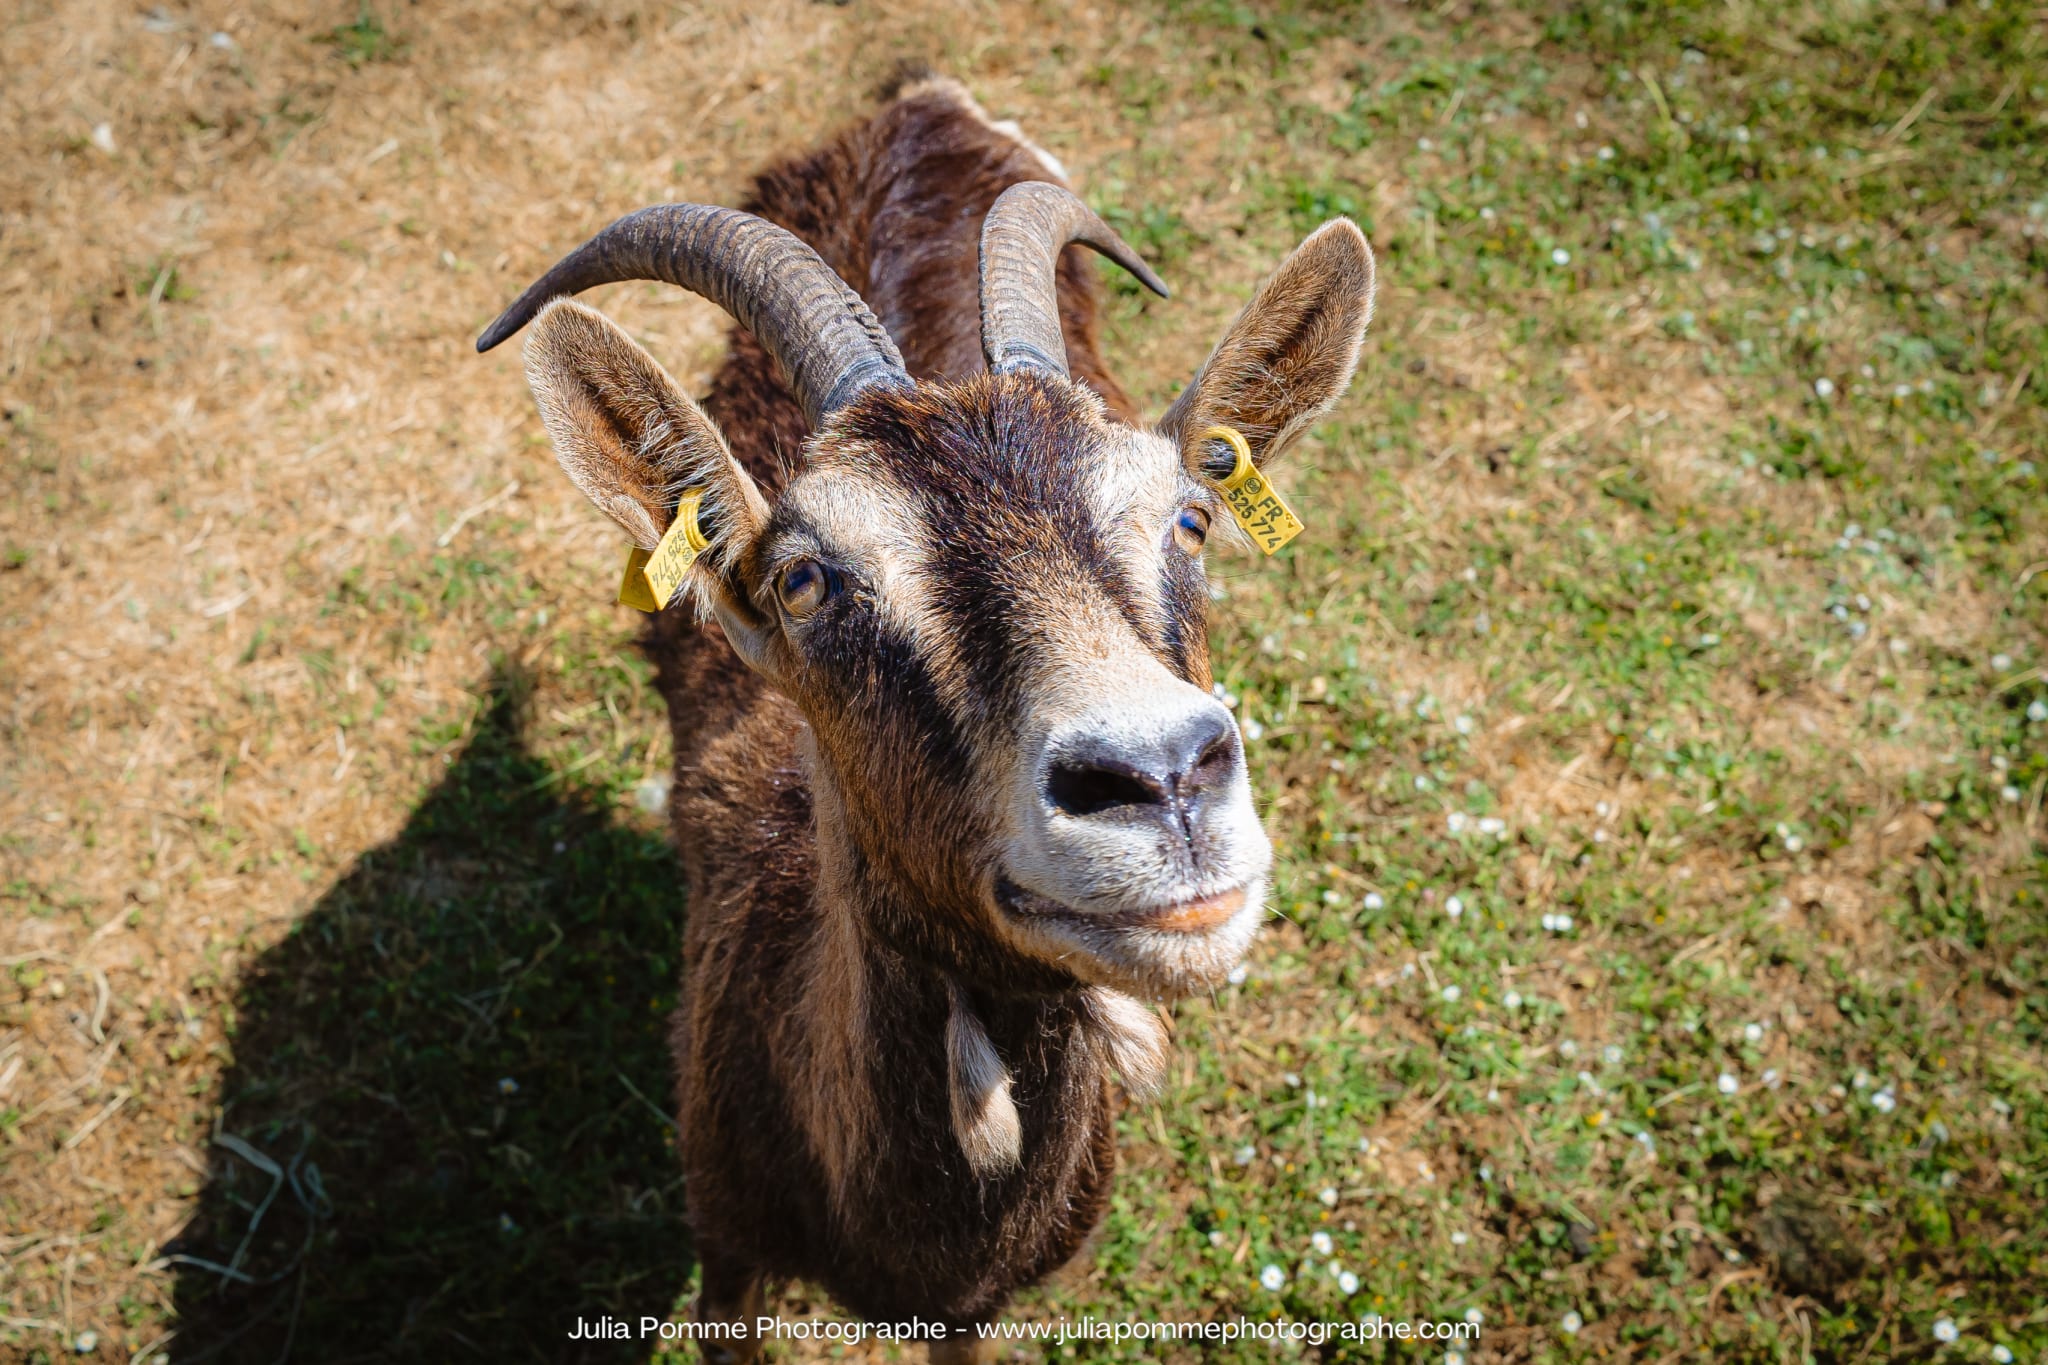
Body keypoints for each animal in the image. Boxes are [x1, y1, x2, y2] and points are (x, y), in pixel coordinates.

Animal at [479, 80, 1376, 1358]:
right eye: (805, 578)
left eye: (1189, 520)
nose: (1160, 780)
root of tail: (916, 102)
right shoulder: (726, 1248)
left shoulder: (975, 1308)